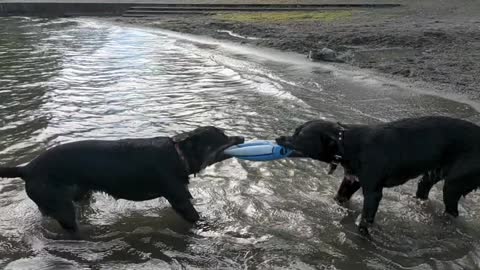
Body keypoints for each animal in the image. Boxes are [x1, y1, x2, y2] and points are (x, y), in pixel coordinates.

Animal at [0, 126, 242, 234]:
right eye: (222, 137)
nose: (241, 137)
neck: (178, 154)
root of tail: (27, 169)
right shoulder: (180, 199)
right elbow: (197, 218)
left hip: (76, 196)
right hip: (62, 207)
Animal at [276, 117, 480, 235]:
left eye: (300, 135)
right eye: (296, 130)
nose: (278, 138)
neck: (348, 144)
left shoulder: (373, 193)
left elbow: (366, 219)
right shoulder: (350, 181)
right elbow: (339, 198)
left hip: (453, 185)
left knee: (452, 211)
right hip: (432, 174)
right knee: (424, 188)